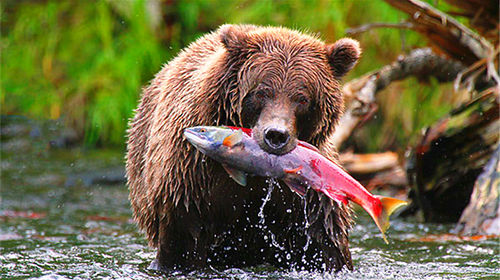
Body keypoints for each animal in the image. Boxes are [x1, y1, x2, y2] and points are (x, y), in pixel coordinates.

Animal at [125, 24, 360, 272]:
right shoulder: (191, 178)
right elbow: (183, 242)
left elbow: (325, 243)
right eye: (262, 92)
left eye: (302, 98)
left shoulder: (308, 198)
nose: (276, 135)